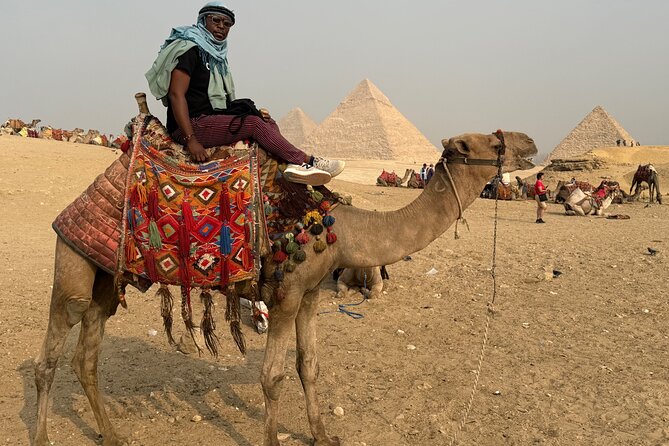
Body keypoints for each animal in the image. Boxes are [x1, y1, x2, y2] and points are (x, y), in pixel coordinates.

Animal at [33, 105, 536, 445]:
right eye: (492, 144)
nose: (529, 143)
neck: (344, 230)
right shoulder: (285, 294)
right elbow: (272, 377)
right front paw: (274, 439)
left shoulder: (311, 293)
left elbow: (308, 366)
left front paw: (323, 435)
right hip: (72, 263)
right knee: (52, 352)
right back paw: (41, 435)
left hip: (106, 279)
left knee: (87, 354)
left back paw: (113, 435)